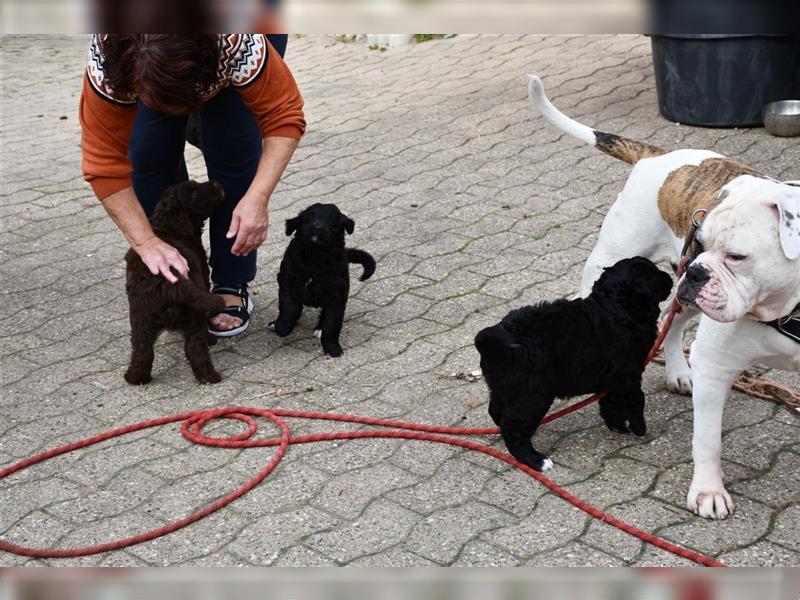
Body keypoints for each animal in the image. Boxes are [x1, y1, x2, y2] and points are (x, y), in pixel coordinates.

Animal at [123, 180, 227, 384]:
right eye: (194, 193)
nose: (215, 183)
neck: (166, 225)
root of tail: (167, 283)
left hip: (141, 319)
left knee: (142, 351)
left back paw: (135, 378)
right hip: (194, 315)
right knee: (195, 346)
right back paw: (209, 375)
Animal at [270, 204, 376, 358]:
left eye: (332, 221)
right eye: (308, 218)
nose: (317, 228)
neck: (315, 257)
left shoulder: (336, 295)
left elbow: (332, 324)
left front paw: (333, 348)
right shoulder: (287, 282)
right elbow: (290, 308)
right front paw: (282, 327)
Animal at [476, 255, 676, 472]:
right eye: (654, 273)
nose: (670, 278)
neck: (615, 307)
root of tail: (490, 343)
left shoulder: (612, 378)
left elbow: (609, 401)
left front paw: (617, 425)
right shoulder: (629, 374)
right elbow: (637, 400)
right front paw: (639, 428)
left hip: (505, 388)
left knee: (496, 411)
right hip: (532, 395)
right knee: (512, 426)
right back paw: (536, 460)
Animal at [528, 75, 796, 516]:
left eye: (736, 256)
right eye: (701, 241)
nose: (698, 268)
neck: (788, 310)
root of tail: (656, 156)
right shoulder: (715, 364)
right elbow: (708, 441)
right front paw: (708, 491)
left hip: (682, 294)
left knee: (671, 319)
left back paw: (678, 372)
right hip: (618, 267)